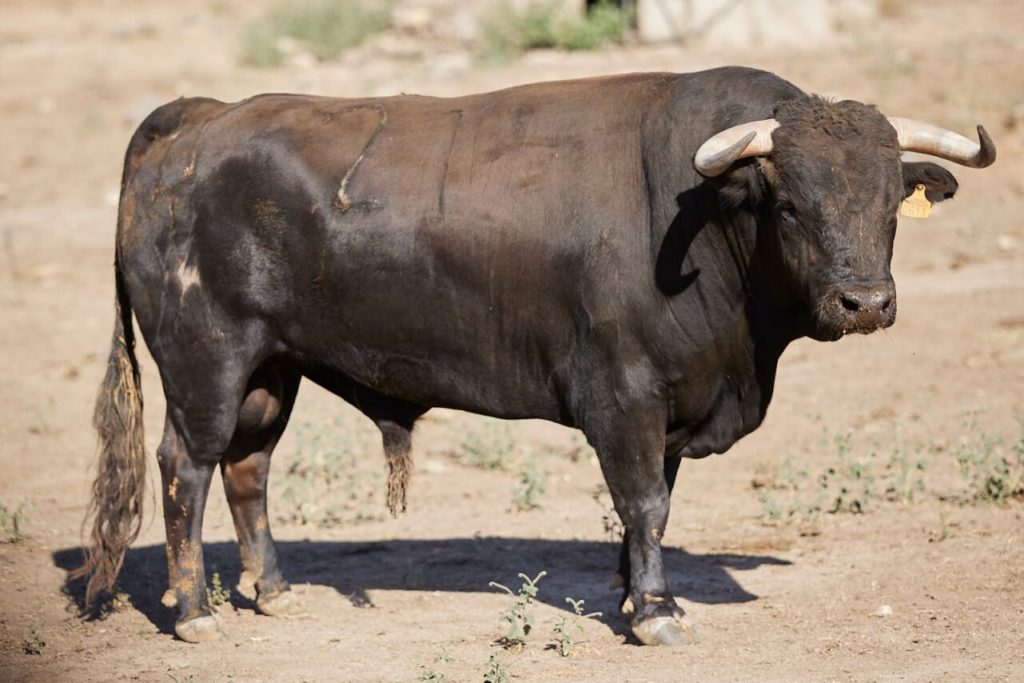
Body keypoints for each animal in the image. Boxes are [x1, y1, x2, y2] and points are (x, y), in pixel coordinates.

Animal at [75, 68, 995, 647]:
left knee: (248, 467)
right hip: (207, 361)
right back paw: (194, 611)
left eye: (891, 203)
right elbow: (644, 503)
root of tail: (196, 120)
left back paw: (272, 589)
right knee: (184, 467)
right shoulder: (623, 398)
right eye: (793, 204)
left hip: (271, 369)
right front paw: (656, 612)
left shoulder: (670, 405)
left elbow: (651, 508)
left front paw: (630, 594)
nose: (865, 302)